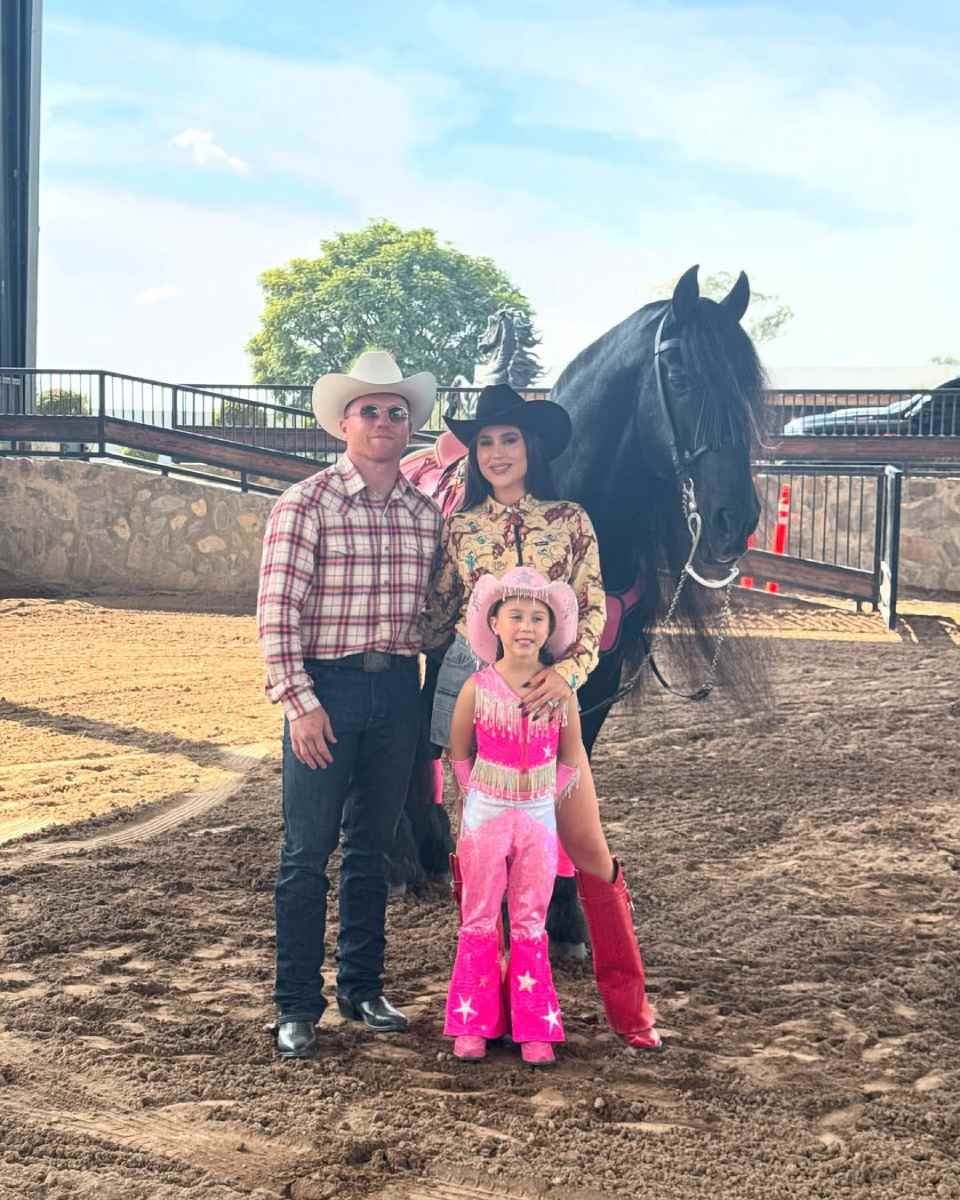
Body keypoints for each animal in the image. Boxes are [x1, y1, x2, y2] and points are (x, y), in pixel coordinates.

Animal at [388, 265, 763, 945]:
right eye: (681, 376)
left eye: (746, 386)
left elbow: (565, 774)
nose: (734, 518)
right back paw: (401, 859)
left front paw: (562, 913)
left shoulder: (596, 673)